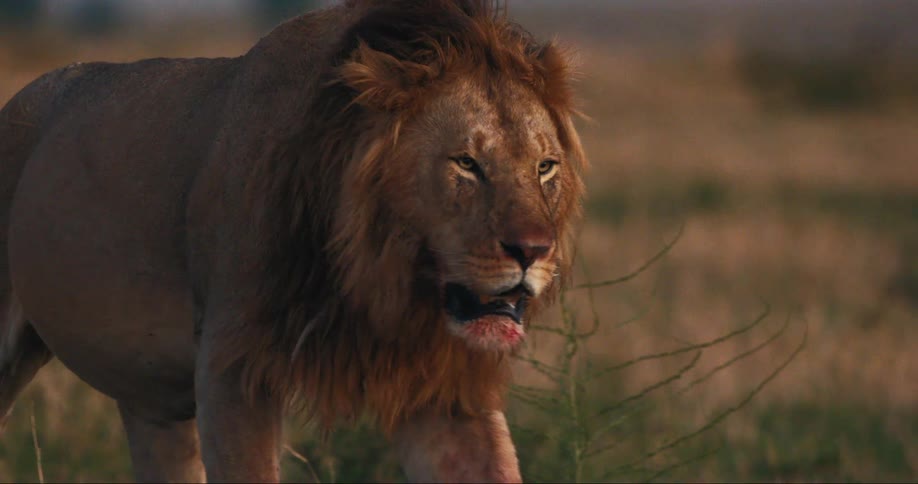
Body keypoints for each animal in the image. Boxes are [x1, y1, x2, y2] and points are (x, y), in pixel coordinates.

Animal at [0, 0, 585, 481]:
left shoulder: (442, 390)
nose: (534, 251)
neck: (373, 277)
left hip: (154, 406)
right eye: (466, 163)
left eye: (545, 168)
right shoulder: (231, 369)